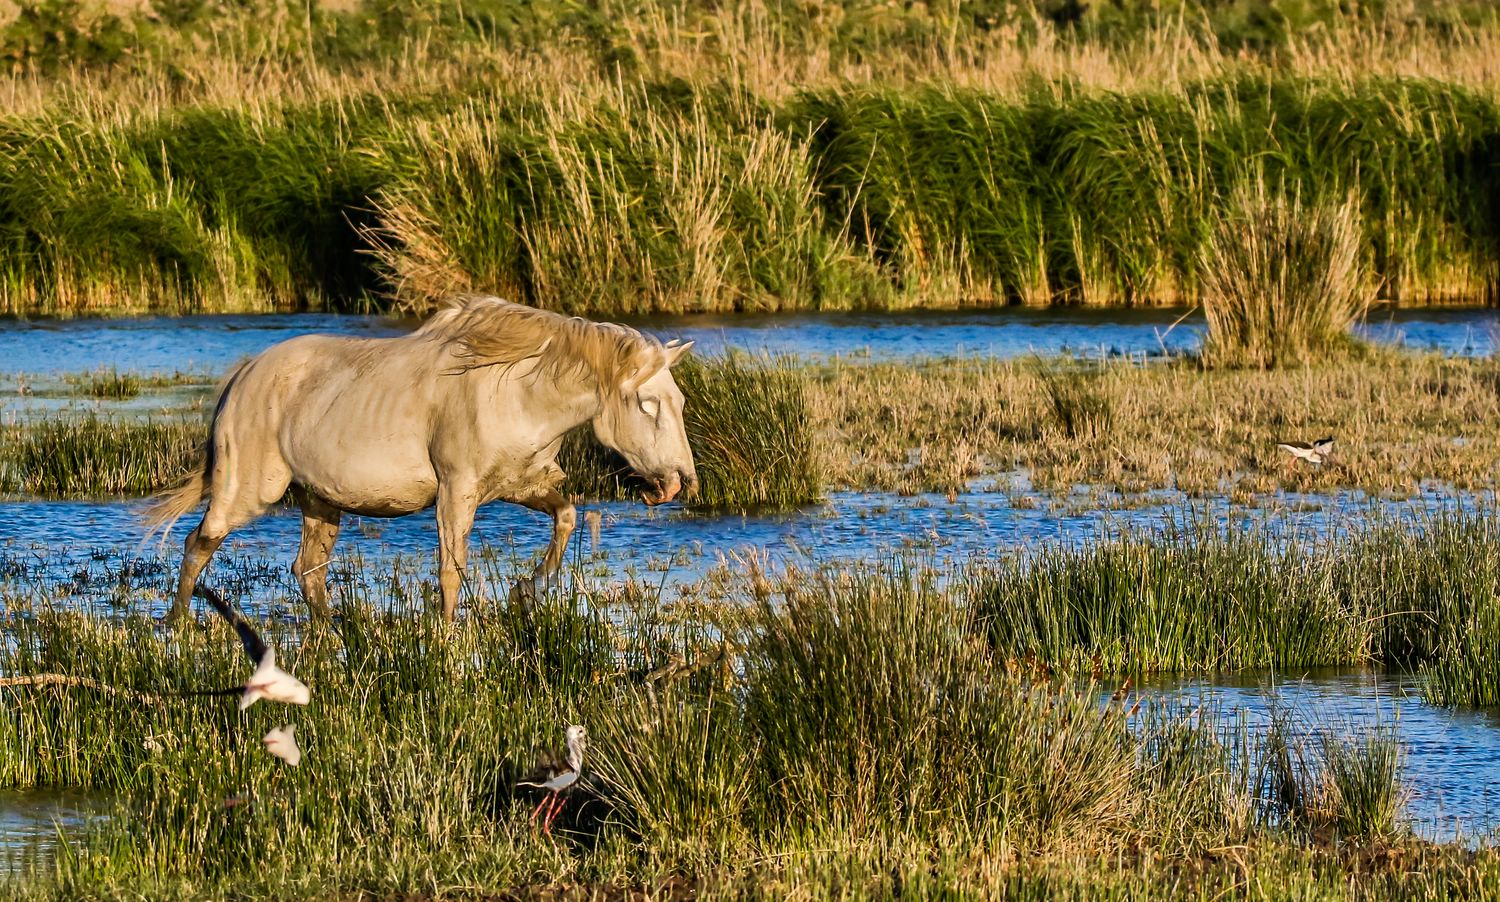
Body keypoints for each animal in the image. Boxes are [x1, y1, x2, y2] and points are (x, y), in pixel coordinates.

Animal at [146, 295, 696, 618]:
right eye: (647, 404)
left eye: (680, 402)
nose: (678, 482)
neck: (514, 390)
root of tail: (243, 376)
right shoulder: (456, 494)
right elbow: (452, 570)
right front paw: (447, 647)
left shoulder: (520, 486)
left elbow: (566, 517)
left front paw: (524, 592)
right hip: (248, 492)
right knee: (198, 544)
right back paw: (178, 628)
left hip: (319, 500)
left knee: (308, 571)